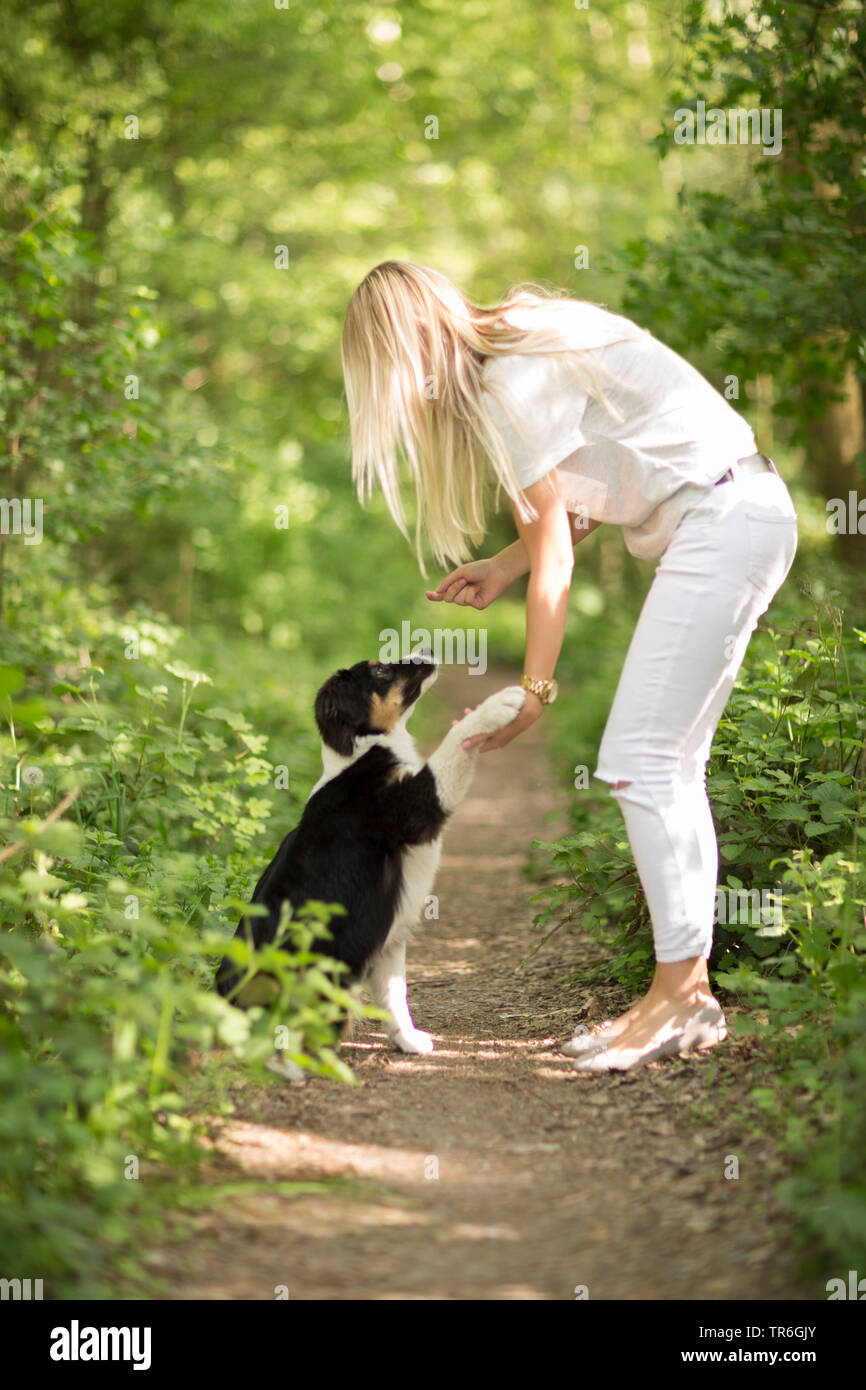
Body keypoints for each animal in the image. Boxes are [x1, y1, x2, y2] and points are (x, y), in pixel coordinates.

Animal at [218, 650, 528, 1050]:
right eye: (380, 670)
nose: (428, 651)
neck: (365, 751)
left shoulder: (385, 933)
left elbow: (394, 993)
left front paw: (408, 1041)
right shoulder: (414, 808)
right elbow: (452, 744)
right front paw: (498, 705)